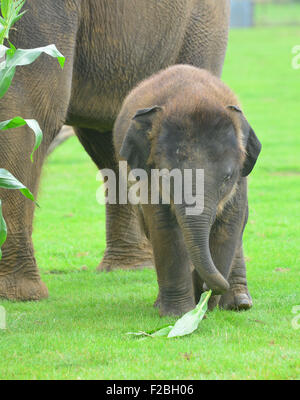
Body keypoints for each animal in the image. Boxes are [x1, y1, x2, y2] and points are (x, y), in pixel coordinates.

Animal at [112, 65, 260, 316]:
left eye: (227, 177)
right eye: (167, 175)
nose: (205, 288)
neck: (194, 97)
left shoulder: (241, 181)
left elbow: (229, 225)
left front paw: (204, 306)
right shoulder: (148, 175)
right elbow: (164, 228)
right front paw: (179, 313)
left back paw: (240, 303)